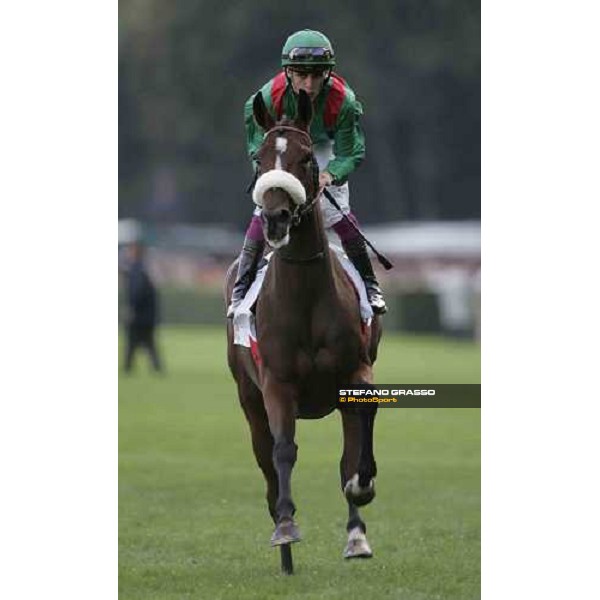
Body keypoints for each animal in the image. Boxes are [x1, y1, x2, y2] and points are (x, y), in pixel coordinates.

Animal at [225, 88, 384, 572]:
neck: (306, 293)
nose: (276, 217)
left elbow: (359, 437)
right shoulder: (276, 384)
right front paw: (286, 527)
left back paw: (355, 533)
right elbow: (283, 451)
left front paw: (361, 492)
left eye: (309, 159)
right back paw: (285, 552)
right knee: (266, 462)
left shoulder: (355, 372)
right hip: (248, 397)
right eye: (258, 159)